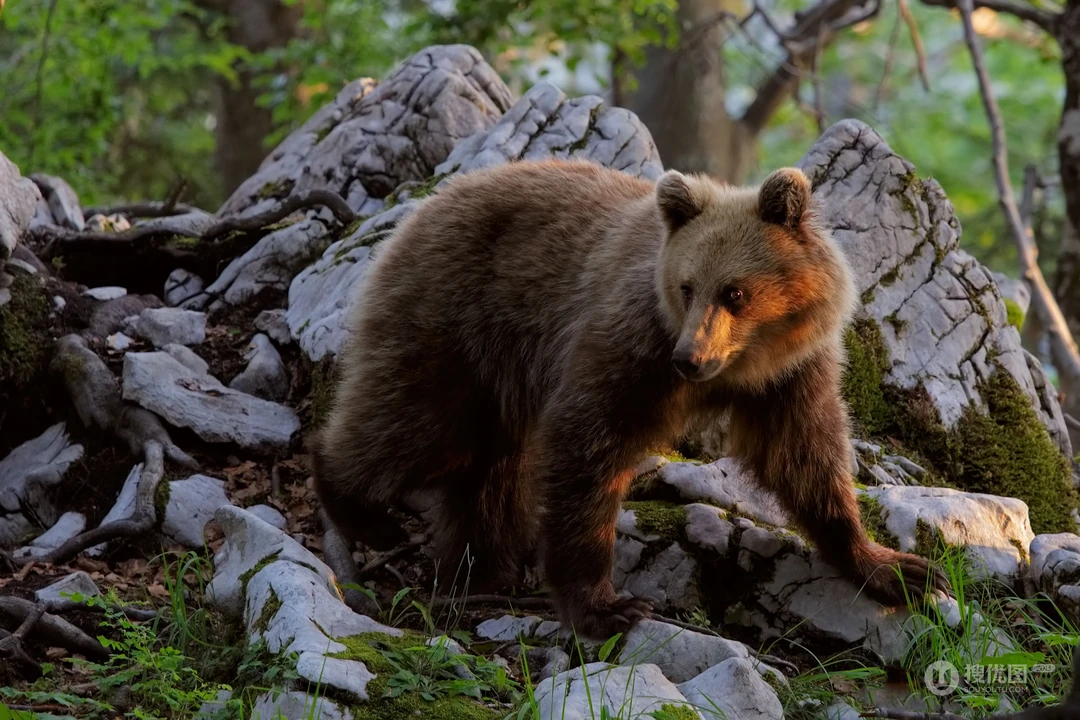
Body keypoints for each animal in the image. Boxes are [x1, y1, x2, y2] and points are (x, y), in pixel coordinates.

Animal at [312, 158, 946, 639]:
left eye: (735, 292)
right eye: (687, 286)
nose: (690, 357)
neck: (744, 364)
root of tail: (426, 201)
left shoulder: (790, 375)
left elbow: (806, 457)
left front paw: (897, 568)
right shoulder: (632, 345)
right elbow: (588, 445)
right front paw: (607, 605)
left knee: (487, 466)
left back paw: (479, 567)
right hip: (458, 316)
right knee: (418, 421)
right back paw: (363, 509)